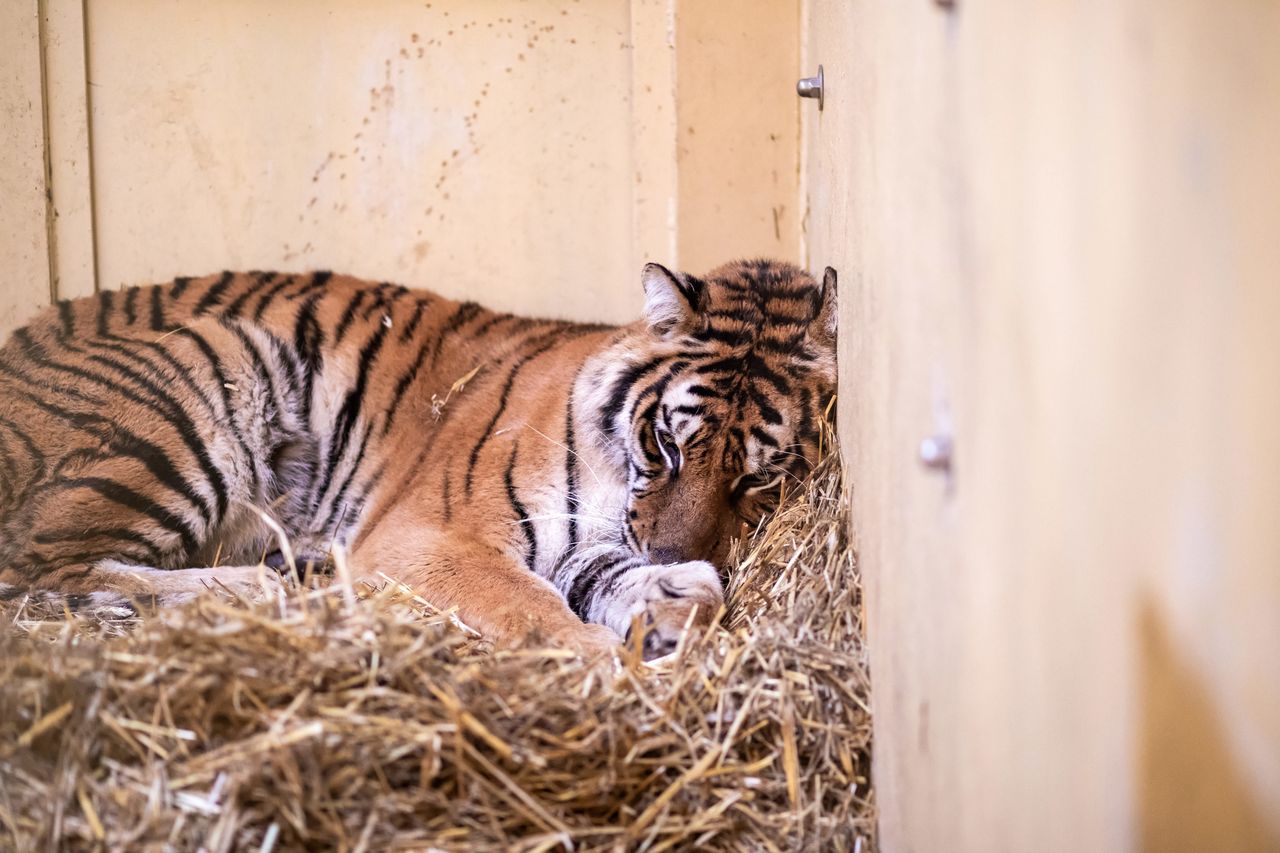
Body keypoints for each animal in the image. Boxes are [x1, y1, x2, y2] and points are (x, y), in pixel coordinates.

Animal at [0, 258, 834, 655]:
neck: (612, 466)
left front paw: (674, 599)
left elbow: (605, 570)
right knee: (42, 569)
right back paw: (267, 587)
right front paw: (598, 654)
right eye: (666, 442)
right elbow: (526, 603)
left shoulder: (591, 536)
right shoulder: (433, 537)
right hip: (214, 363)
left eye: (757, 477)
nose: (671, 553)